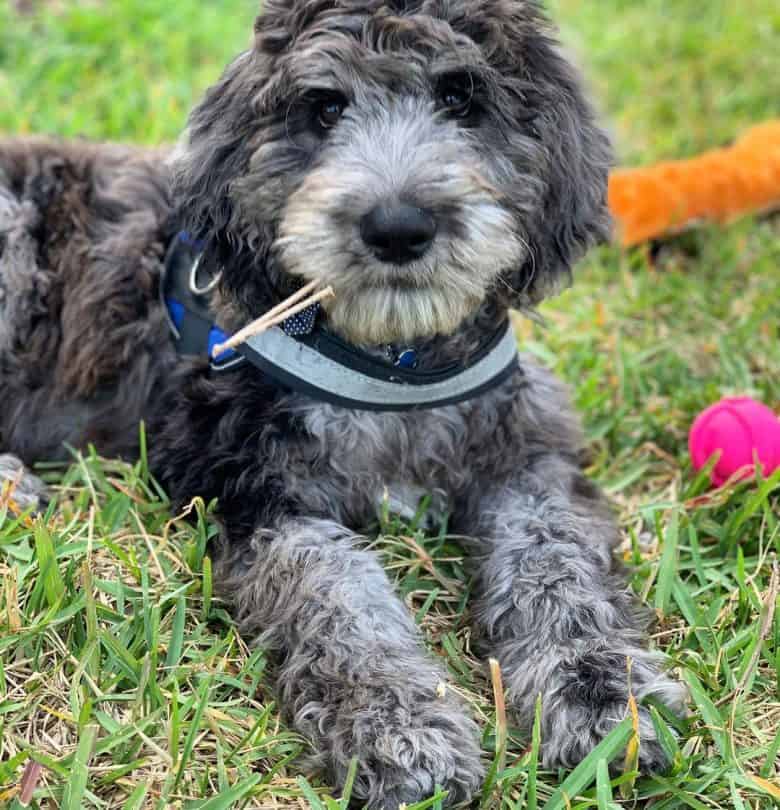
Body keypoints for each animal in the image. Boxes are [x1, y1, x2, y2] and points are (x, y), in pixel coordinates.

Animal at [0, 0, 684, 800]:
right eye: (324, 108)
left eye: (461, 97)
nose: (398, 227)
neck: (393, 367)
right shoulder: (251, 489)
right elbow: (336, 595)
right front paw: (396, 726)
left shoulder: (528, 457)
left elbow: (557, 563)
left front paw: (602, 694)